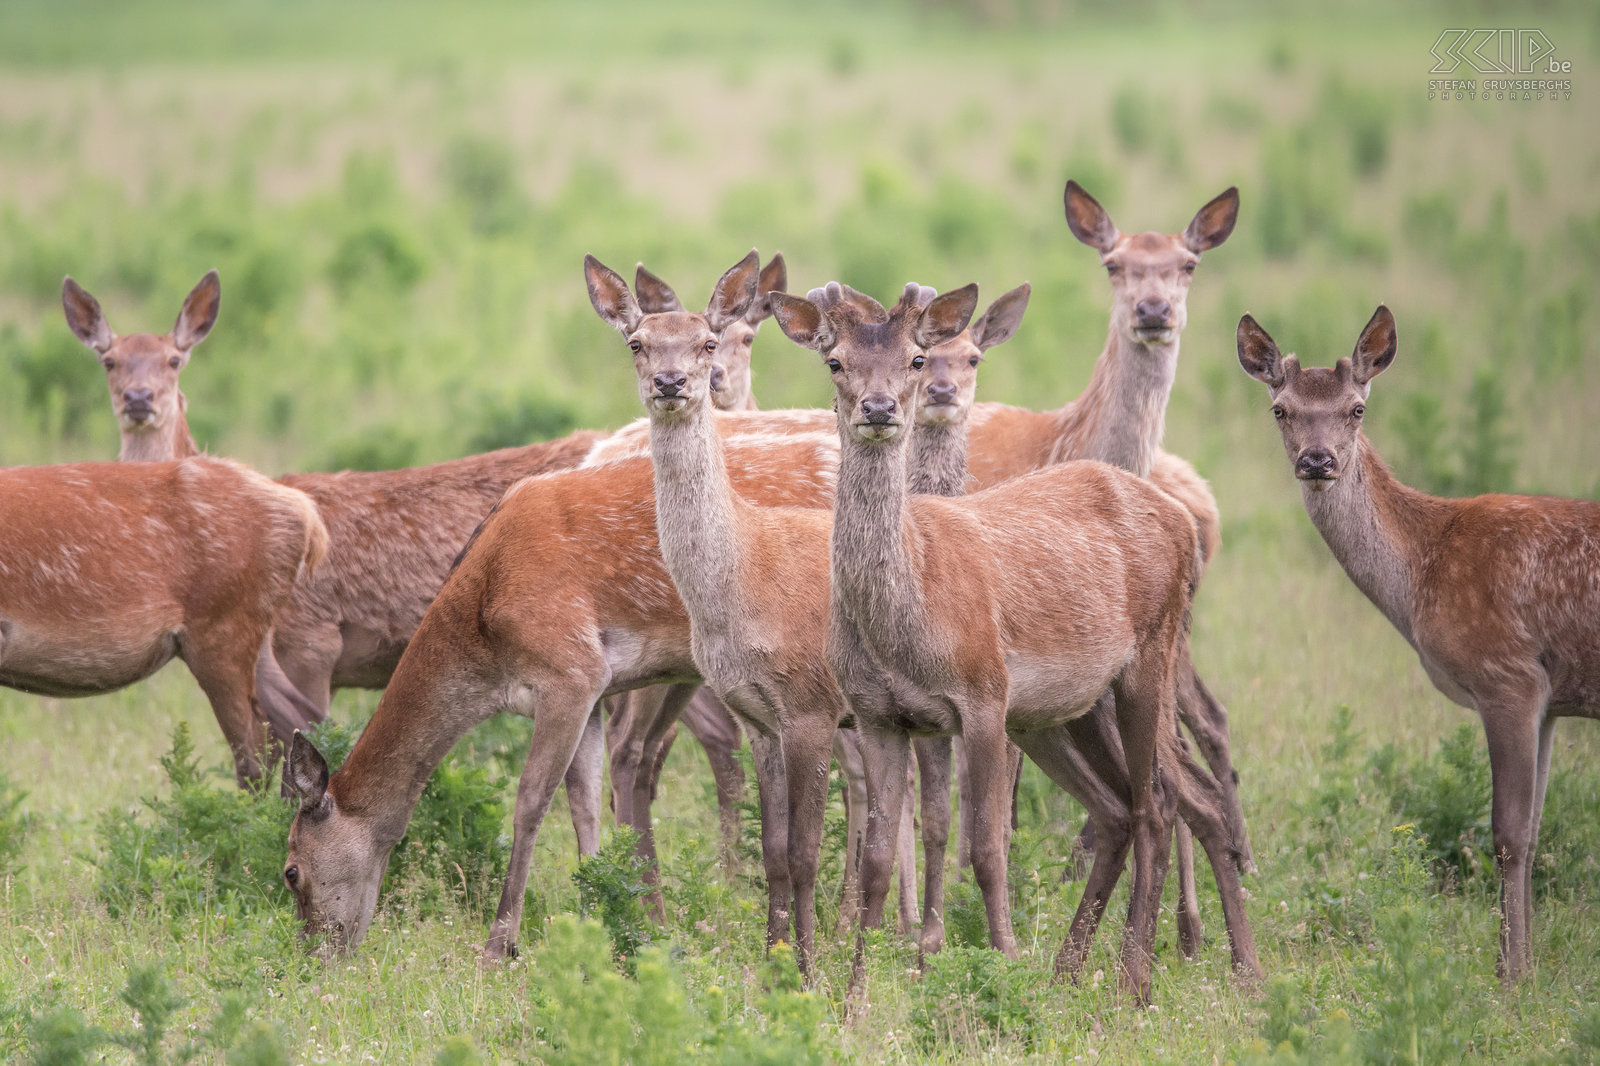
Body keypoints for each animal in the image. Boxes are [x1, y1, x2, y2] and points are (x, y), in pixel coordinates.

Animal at [771, 280, 1260, 998]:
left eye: (916, 358)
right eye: (834, 361)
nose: (880, 408)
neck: (902, 623)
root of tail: (1181, 520)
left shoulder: (982, 694)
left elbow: (985, 843)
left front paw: (999, 965)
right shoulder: (879, 715)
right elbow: (879, 858)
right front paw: (856, 993)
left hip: (1148, 655)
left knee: (1160, 802)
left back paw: (1138, 979)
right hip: (1061, 711)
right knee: (1129, 805)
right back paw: (1099, 967)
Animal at [1235, 300, 1600, 979]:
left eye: (1357, 408)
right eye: (1281, 409)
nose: (1317, 460)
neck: (1422, 577)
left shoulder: (1507, 675)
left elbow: (1508, 835)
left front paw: (1510, 977)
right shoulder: (1549, 699)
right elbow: (1535, 831)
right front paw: (1525, 966)